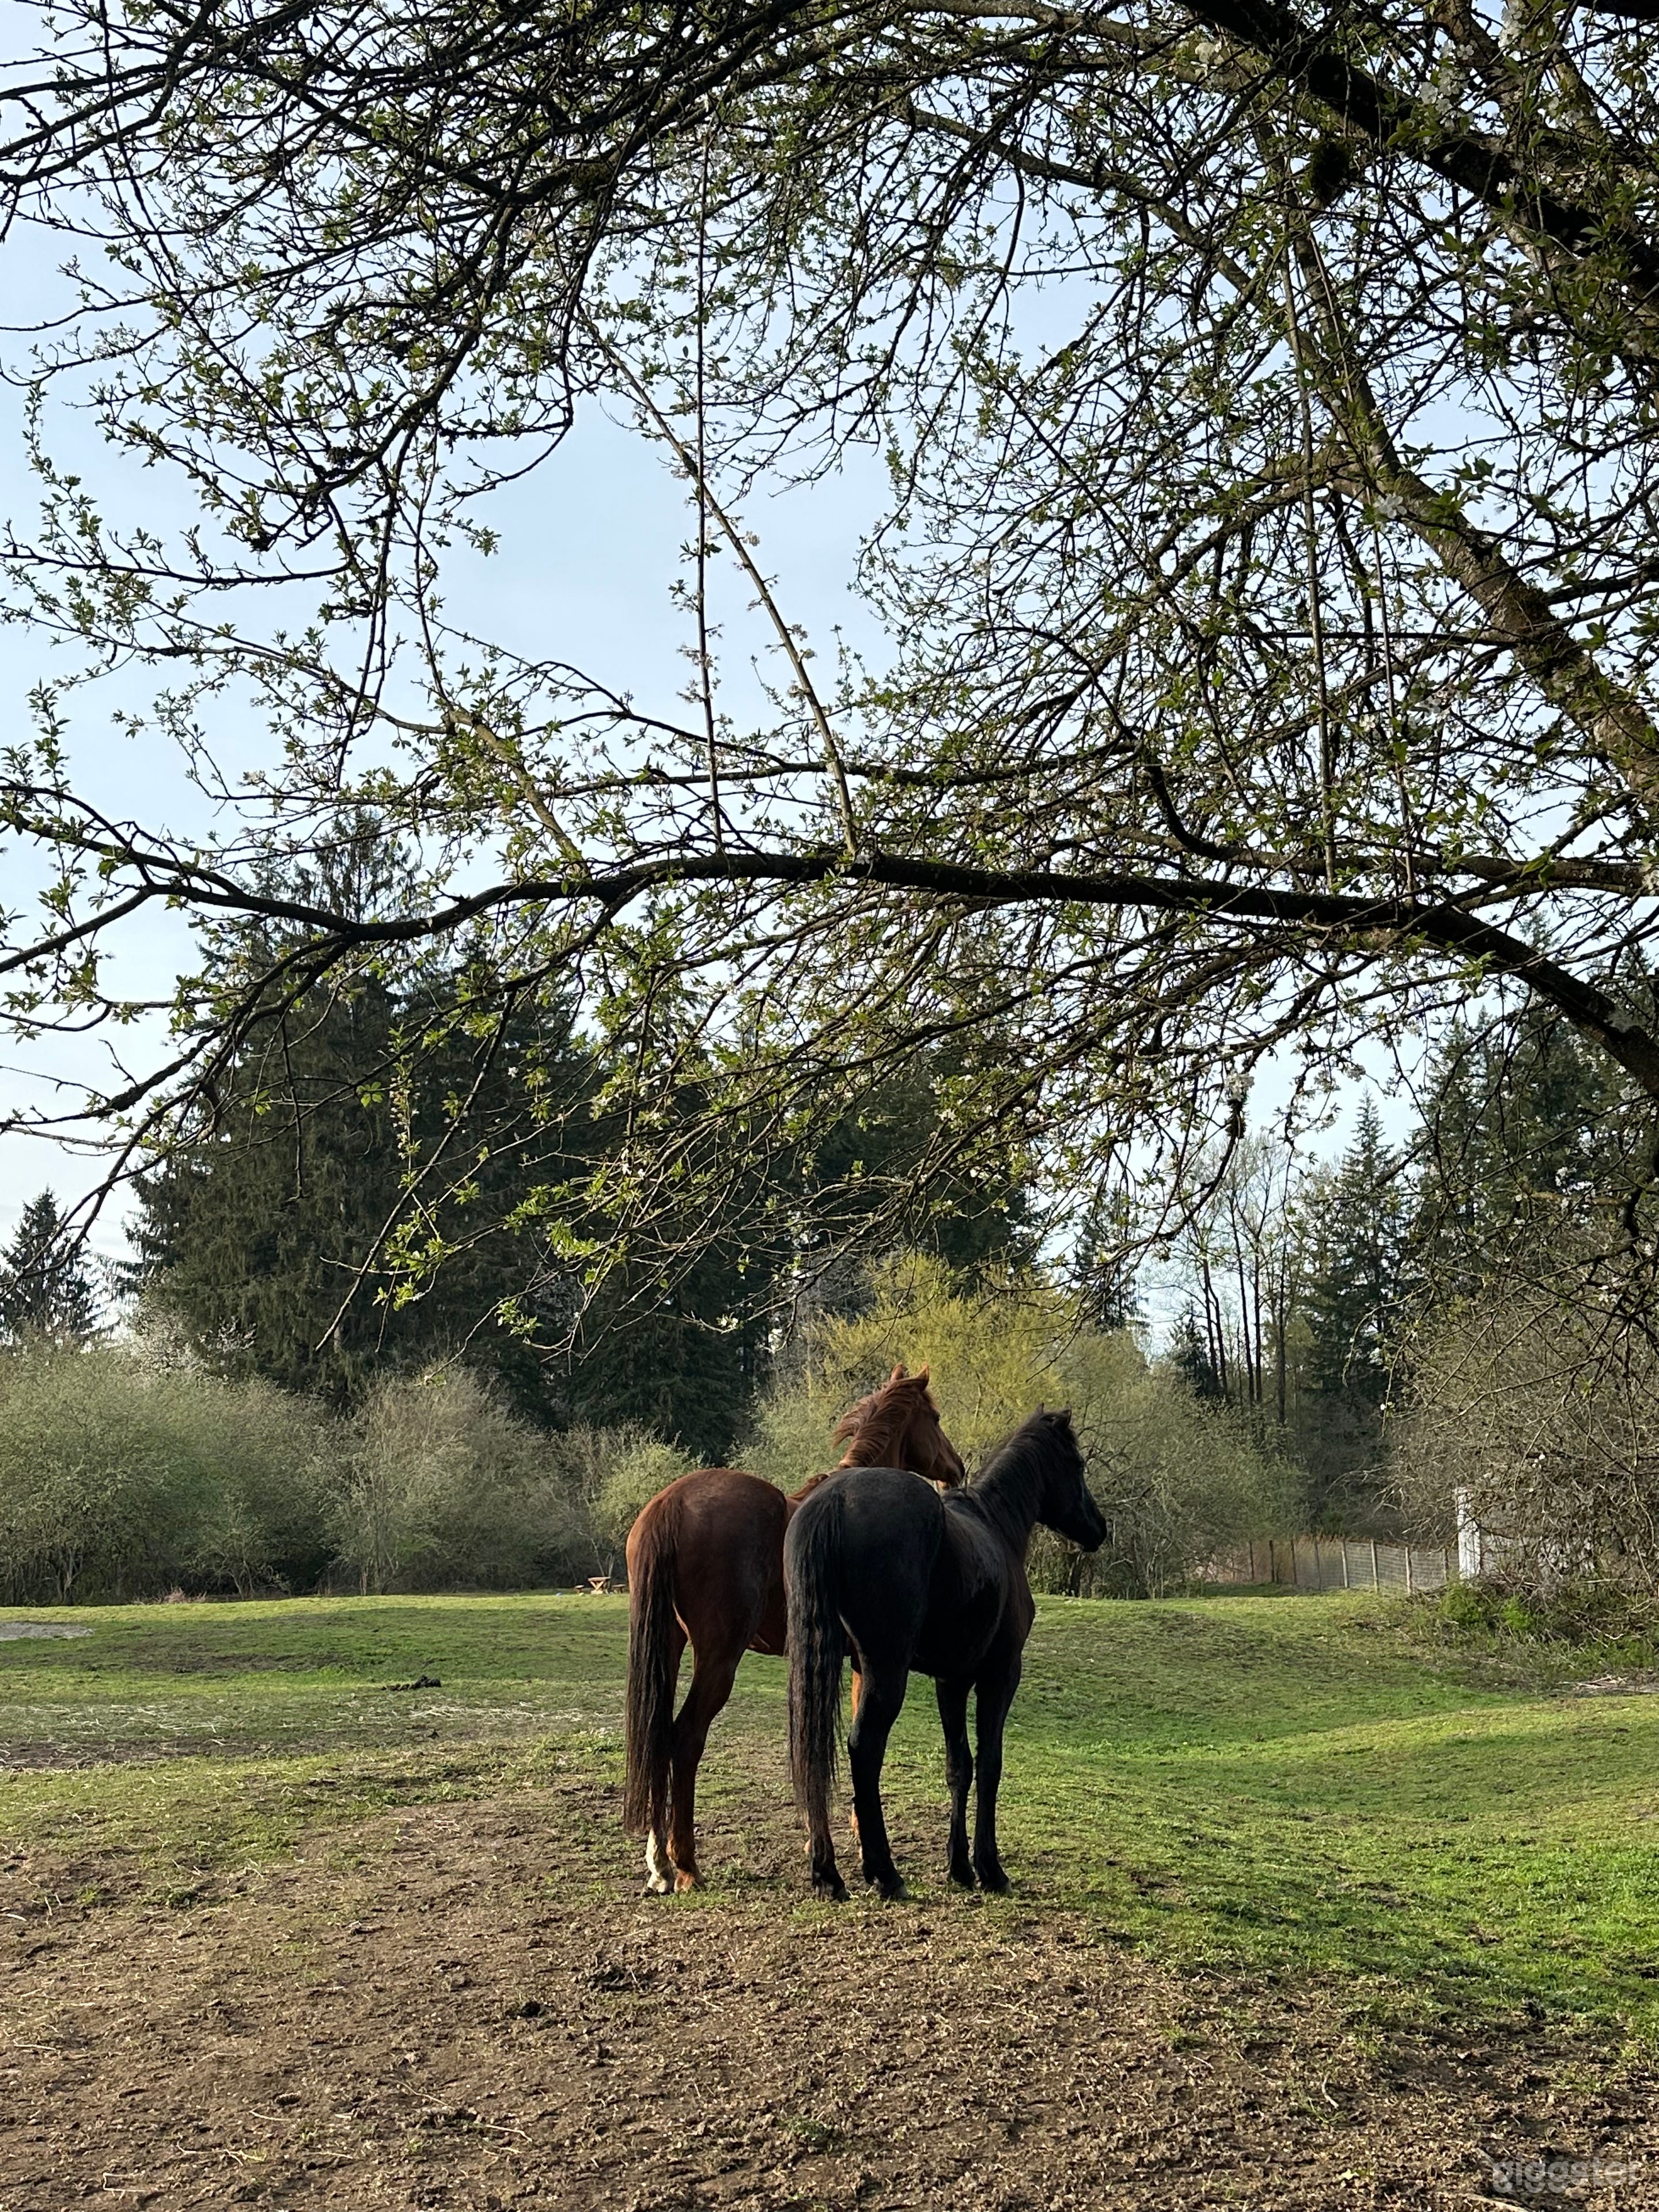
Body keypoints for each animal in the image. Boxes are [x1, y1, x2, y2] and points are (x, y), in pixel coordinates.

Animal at [623, 1364, 966, 1894]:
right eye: (935, 1417)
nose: (958, 1468)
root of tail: (671, 1503)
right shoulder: (864, 1663)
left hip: (669, 1648)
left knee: (659, 1738)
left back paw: (659, 1863)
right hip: (717, 1660)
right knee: (685, 1739)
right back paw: (686, 1864)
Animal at [785, 1407, 1105, 1902]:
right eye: (1078, 1465)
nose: (1099, 1528)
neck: (996, 1526)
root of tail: (834, 1500)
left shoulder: (950, 1681)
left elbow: (960, 1766)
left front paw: (960, 1867)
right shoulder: (999, 1676)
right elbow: (990, 1764)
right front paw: (990, 1868)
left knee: (815, 1752)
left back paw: (827, 1873)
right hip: (885, 1671)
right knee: (864, 1748)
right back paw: (884, 1872)